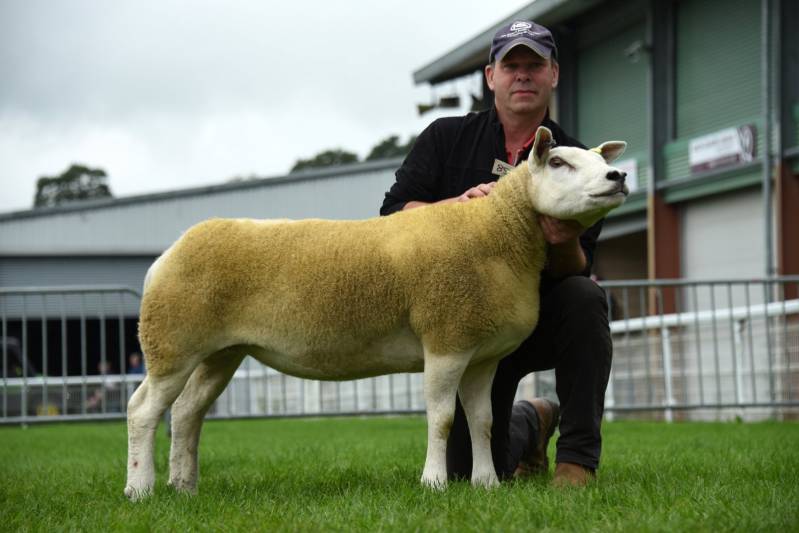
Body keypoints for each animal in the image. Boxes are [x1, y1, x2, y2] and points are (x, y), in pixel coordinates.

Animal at [125, 127, 628, 500]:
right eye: (559, 163)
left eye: (597, 161)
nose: (618, 175)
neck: (497, 234)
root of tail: (167, 254)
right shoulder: (445, 337)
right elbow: (442, 418)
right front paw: (434, 482)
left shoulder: (481, 353)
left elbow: (482, 422)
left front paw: (485, 483)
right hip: (172, 341)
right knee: (143, 409)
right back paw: (140, 489)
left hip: (219, 352)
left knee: (186, 413)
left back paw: (185, 486)